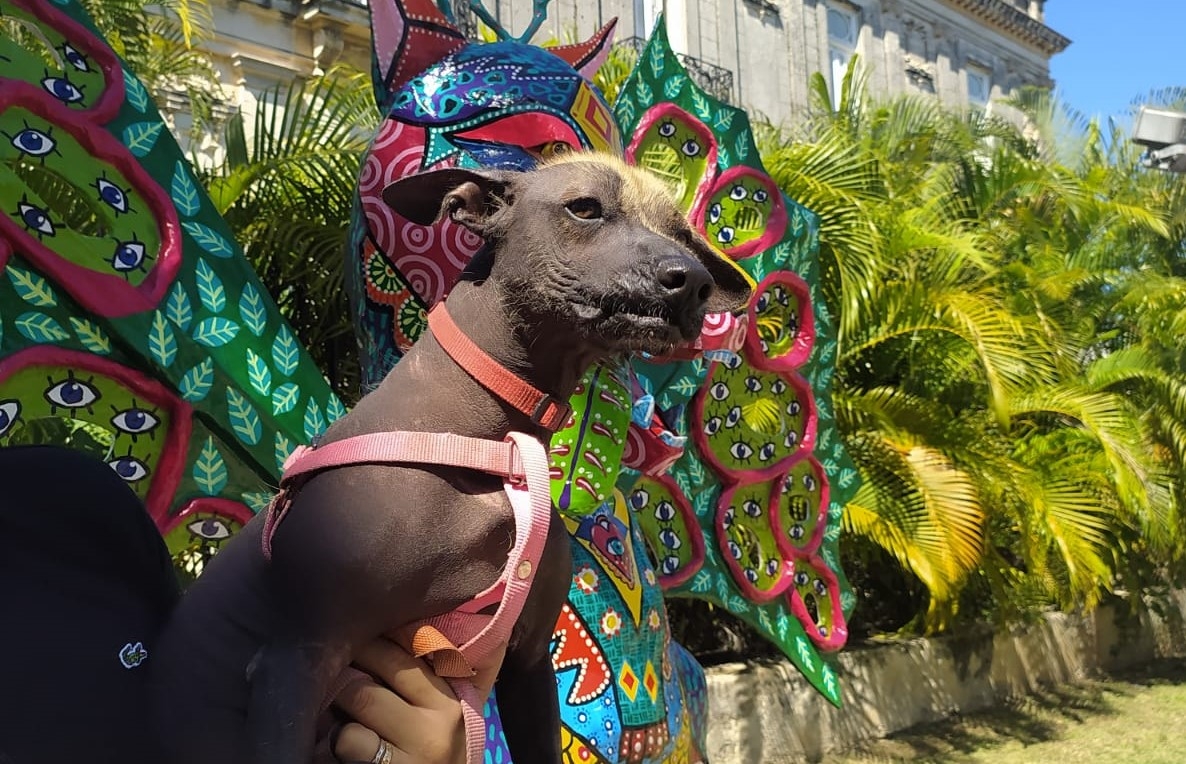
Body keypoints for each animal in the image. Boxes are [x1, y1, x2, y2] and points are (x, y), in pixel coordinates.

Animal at [148, 151, 749, 759]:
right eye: (585, 207)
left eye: (681, 233)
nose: (695, 281)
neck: (492, 448)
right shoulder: (298, 654)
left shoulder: (528, 660)